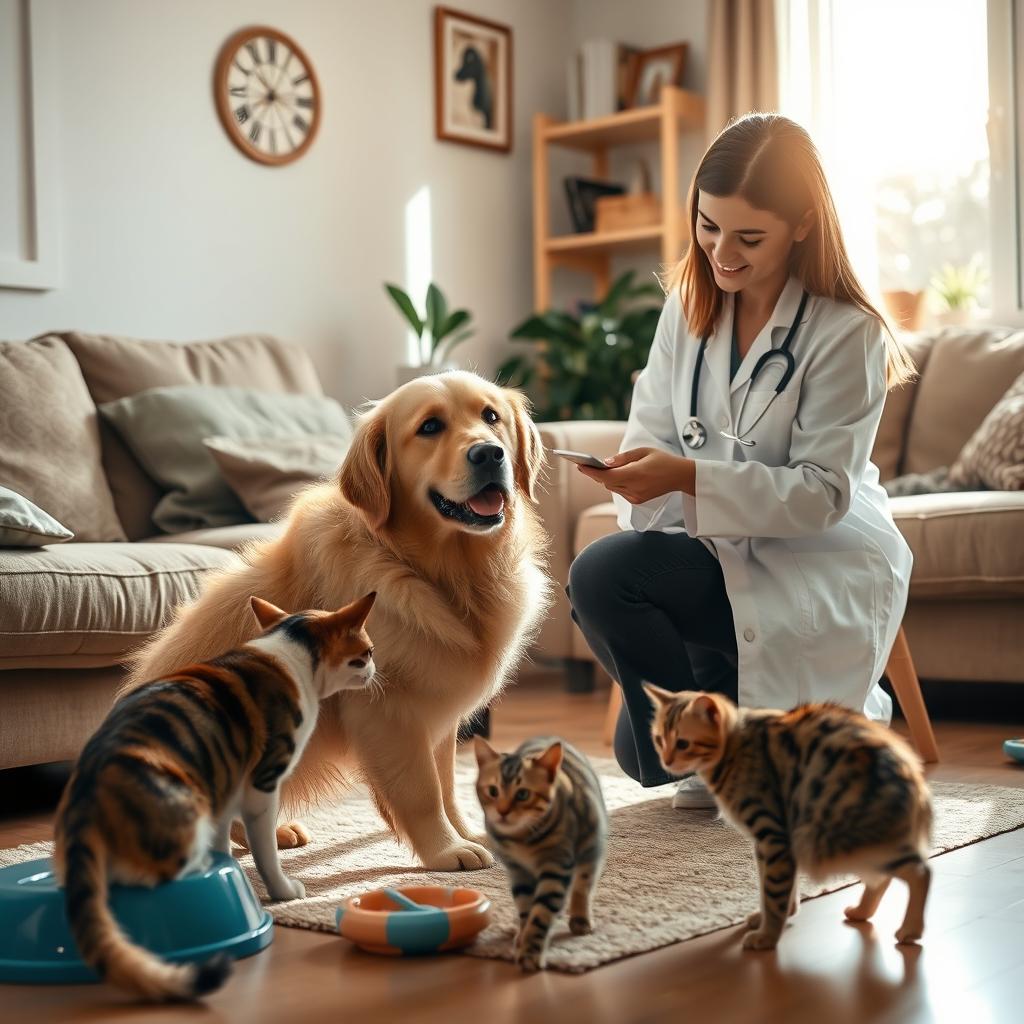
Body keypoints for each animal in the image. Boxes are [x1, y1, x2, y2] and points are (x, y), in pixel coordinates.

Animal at [52, 593, 380, 999]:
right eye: (366, 652)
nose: (375, 669)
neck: (289, 650)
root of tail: (87, 792)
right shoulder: (262, 783)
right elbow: (266, 851)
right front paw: (284, 890)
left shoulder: (227, 782)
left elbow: (225, 839)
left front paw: (228, 864)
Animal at [473, 737, 606, 966]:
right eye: (493, 791)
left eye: (523, 794)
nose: (502, 811)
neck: (522, 839)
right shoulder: (518, 871)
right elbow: (527, 909)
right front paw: (523, 935)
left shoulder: (556, 866)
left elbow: (541, 913)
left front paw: (530, 953)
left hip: (589, 848)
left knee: (582, 887)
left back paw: (580, 919)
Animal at [647, 688, 937, 950]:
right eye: (659, 739)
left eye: (683, 743)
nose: (665, 761)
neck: (734, 748)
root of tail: (914, 775)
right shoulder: (772, 844)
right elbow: (773, 888)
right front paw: (773, 917)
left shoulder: (773, 834)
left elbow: (774, 893)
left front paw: (767, 937)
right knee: (883, 877)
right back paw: (861, 912)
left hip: (836, 838)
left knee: (921, 871)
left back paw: (910, 930)